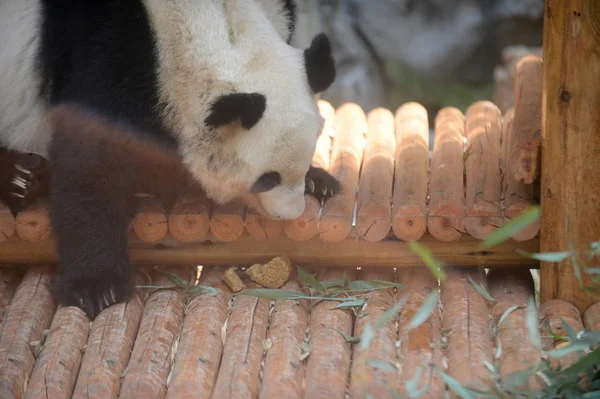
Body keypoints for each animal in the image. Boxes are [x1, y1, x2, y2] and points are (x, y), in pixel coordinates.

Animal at [0, 0, 338, 318]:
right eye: (266, 179)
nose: (290, 214)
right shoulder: (109, 51)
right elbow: (89, 161)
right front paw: (98, 287)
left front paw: (318, 180)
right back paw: (19, 179)